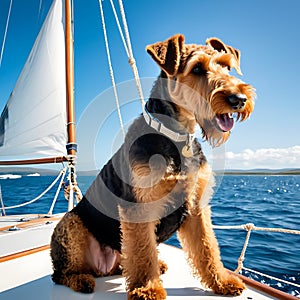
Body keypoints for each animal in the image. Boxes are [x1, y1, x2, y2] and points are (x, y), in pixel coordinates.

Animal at [50, 34, 254, 298]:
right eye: (197, 69)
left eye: (227, 66)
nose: (239, 99)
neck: (176, 135)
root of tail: (101, 267)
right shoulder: (139, 209)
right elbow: (144, 253)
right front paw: (148, 289)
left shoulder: (197, 207)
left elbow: (208, 249)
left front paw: (223, 282)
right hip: (70, 225)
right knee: (61, 273)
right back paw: (82, 280)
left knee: (123, 262)